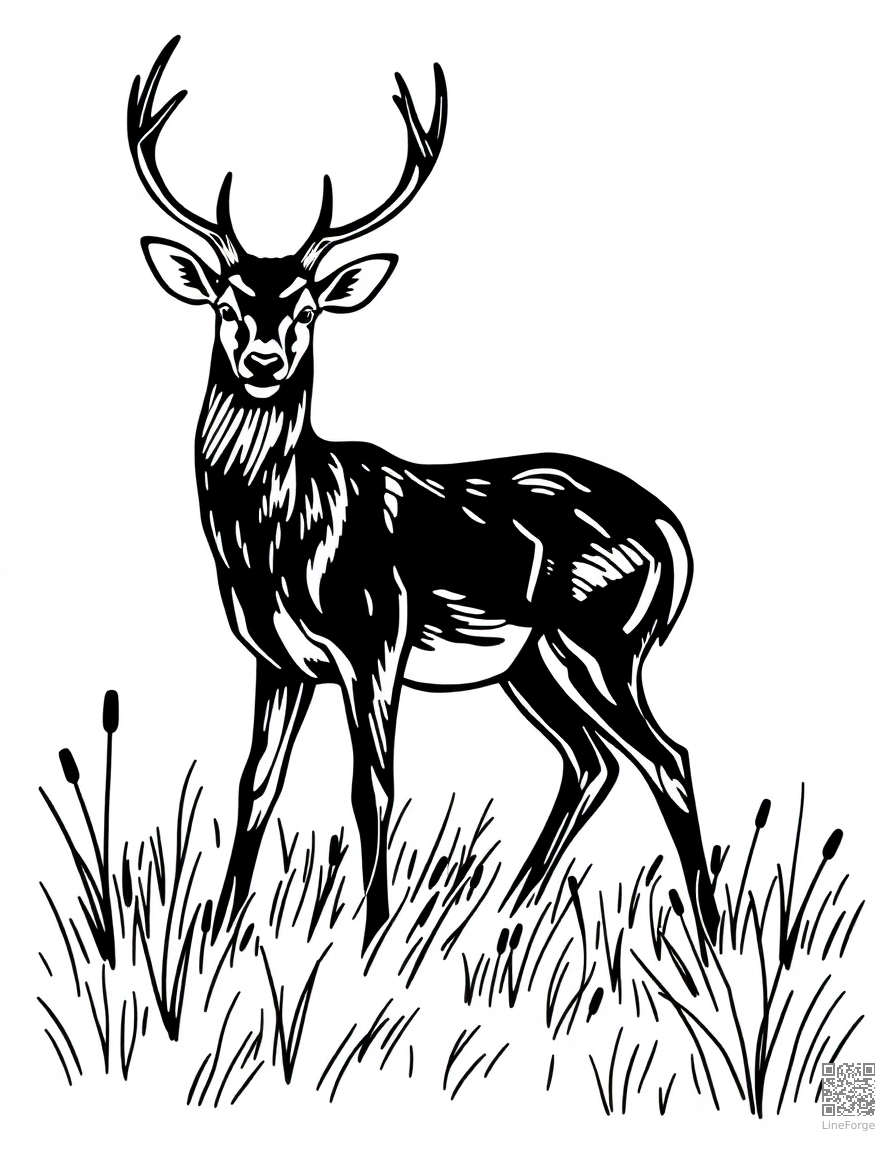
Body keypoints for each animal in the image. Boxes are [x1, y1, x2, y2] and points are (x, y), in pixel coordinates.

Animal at [129, 37, 720, 954]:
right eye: (227, 303)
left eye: (307, 309)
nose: (263, 359)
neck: (282, 537)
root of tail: (672, 534)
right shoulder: (277, 660)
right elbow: (253, 787)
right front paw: (219, 934)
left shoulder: (375, 634)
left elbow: (372, 787)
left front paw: (371, 942)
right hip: (534, 662)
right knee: (591, 762)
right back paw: (509, 911)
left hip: (602, 639)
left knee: (667, 757)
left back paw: (713, 938)